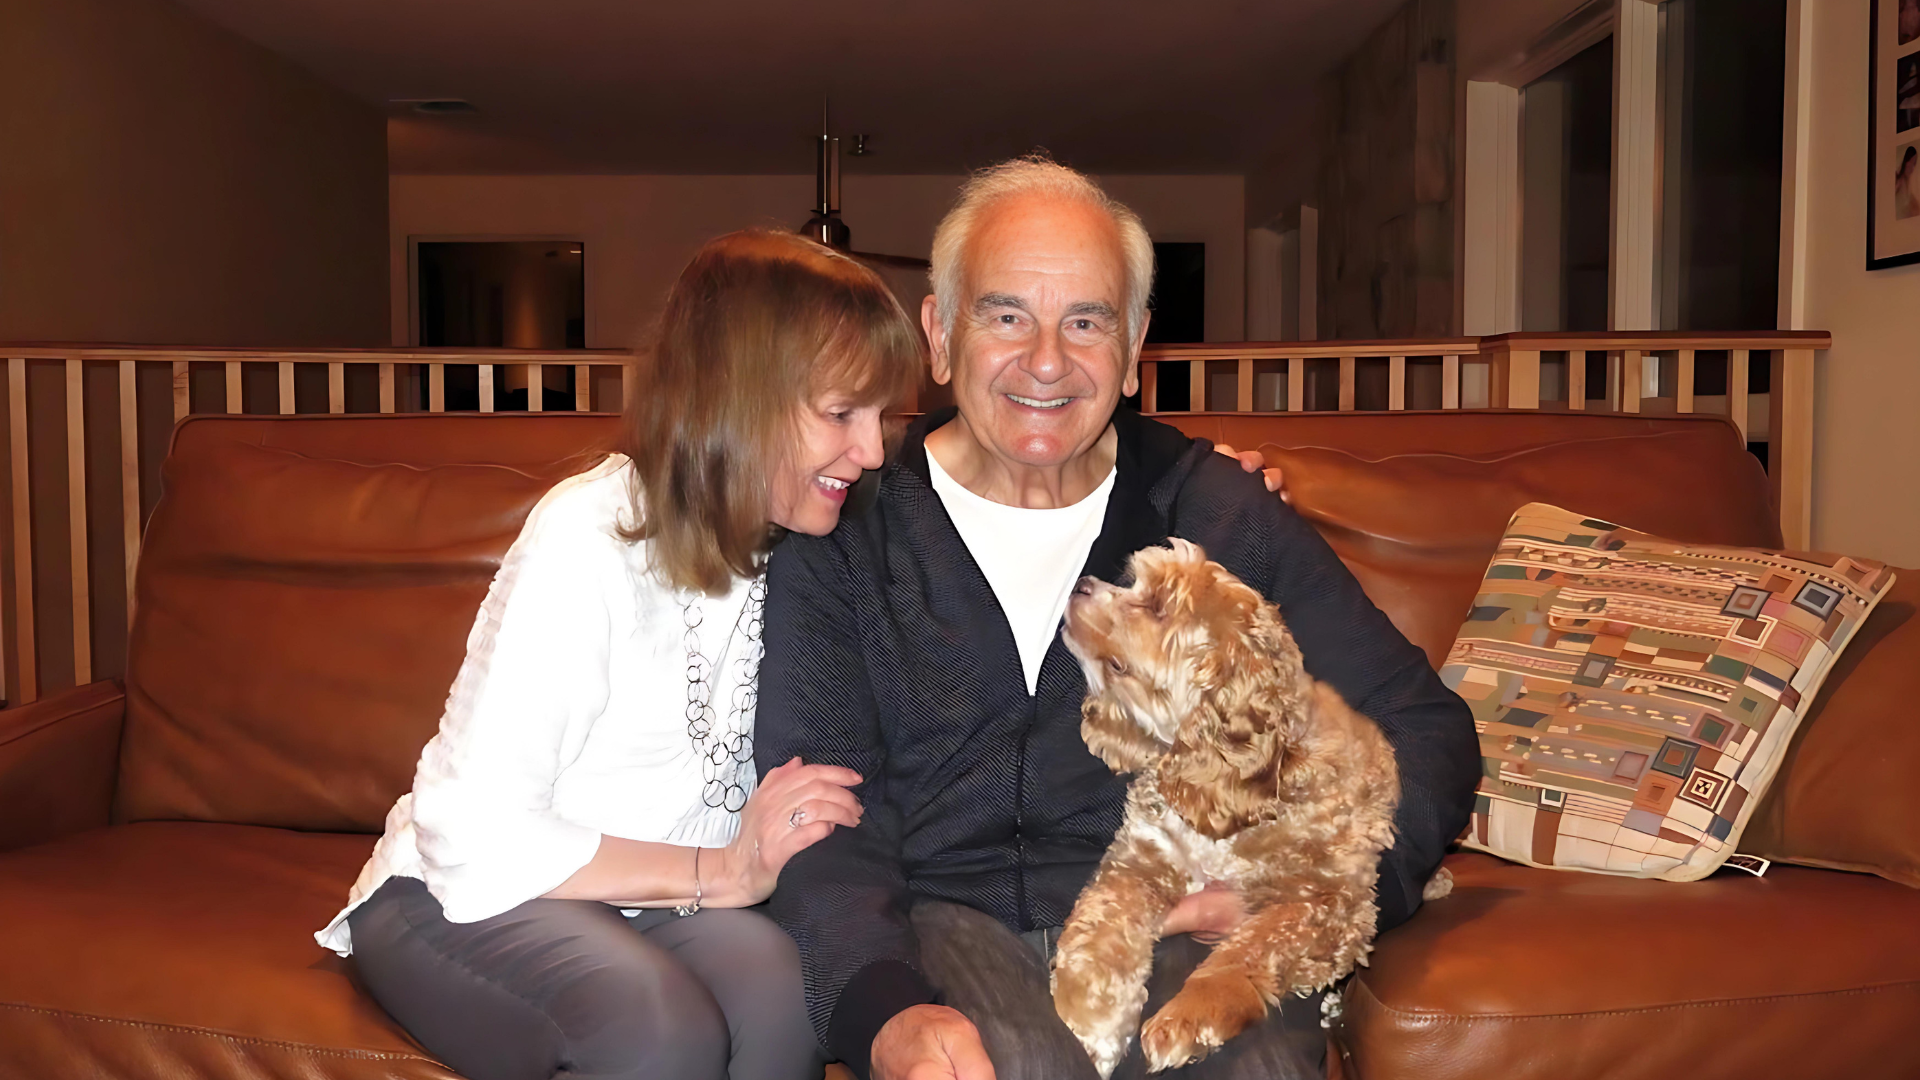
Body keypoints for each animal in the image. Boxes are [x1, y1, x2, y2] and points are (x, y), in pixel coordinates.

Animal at [1059, 538, 1405, 1076]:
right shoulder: (1141, 860)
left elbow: (1249, 948)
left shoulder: (1328, 906)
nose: (1079, 583)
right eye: (1134, 581)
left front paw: (1187, 1016)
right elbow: (1101, 933)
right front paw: (1087, 1024)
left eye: (1156, 606)